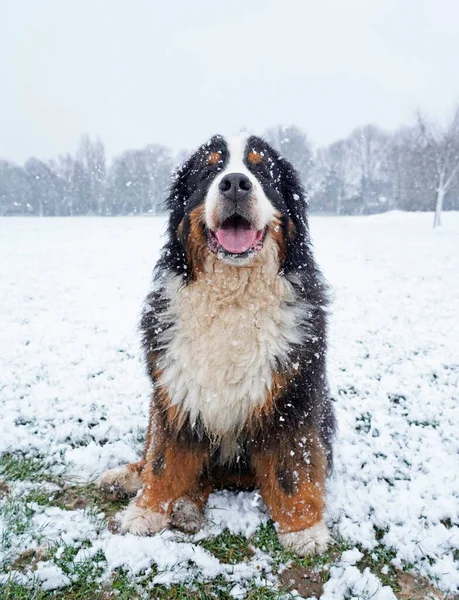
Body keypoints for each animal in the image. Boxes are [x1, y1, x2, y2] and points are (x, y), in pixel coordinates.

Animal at [100, 134, 336, 556]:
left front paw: (303, 528)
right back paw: (131, 480)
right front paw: (145, 510)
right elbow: (162, 459)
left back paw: (185, 507)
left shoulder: (291, 397)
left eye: (261, 170)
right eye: (210, 171)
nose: (236, 183)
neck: (233, 297)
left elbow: (291, 467)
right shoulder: (175, 391)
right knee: (154, 455)